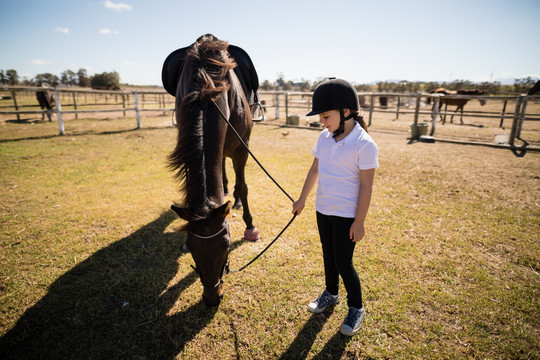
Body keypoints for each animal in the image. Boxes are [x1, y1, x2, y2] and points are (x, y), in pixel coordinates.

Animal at [162, 33, 260, 306]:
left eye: (226, 245)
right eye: (193, 247)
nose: (212, 297)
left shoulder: (242, 147)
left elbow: (243, 186)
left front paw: (249, 225)